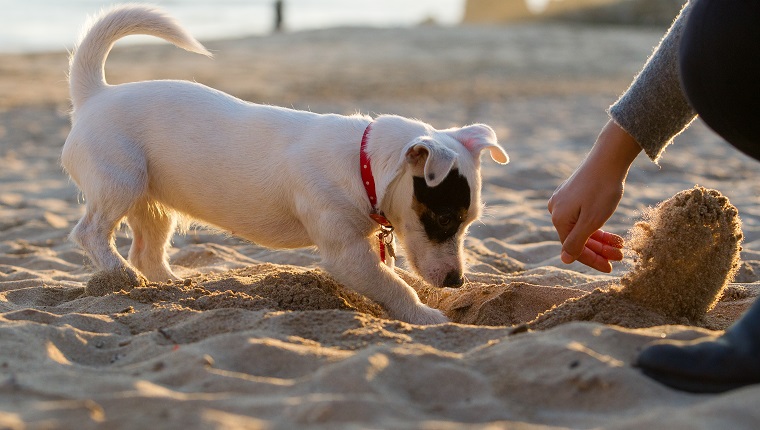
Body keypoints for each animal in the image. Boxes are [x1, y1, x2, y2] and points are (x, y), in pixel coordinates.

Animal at [62, 5, 508, 324]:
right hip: (121, 182)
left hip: (153, 203)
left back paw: (172, 287)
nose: (458, 281)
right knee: (90, 232)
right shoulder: (347, 253)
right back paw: (119, 274)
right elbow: (396, 286)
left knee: (147, 252)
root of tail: (95, 95)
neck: (362, 165)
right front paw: (427, 316)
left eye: (468, 223)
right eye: (444, 218)